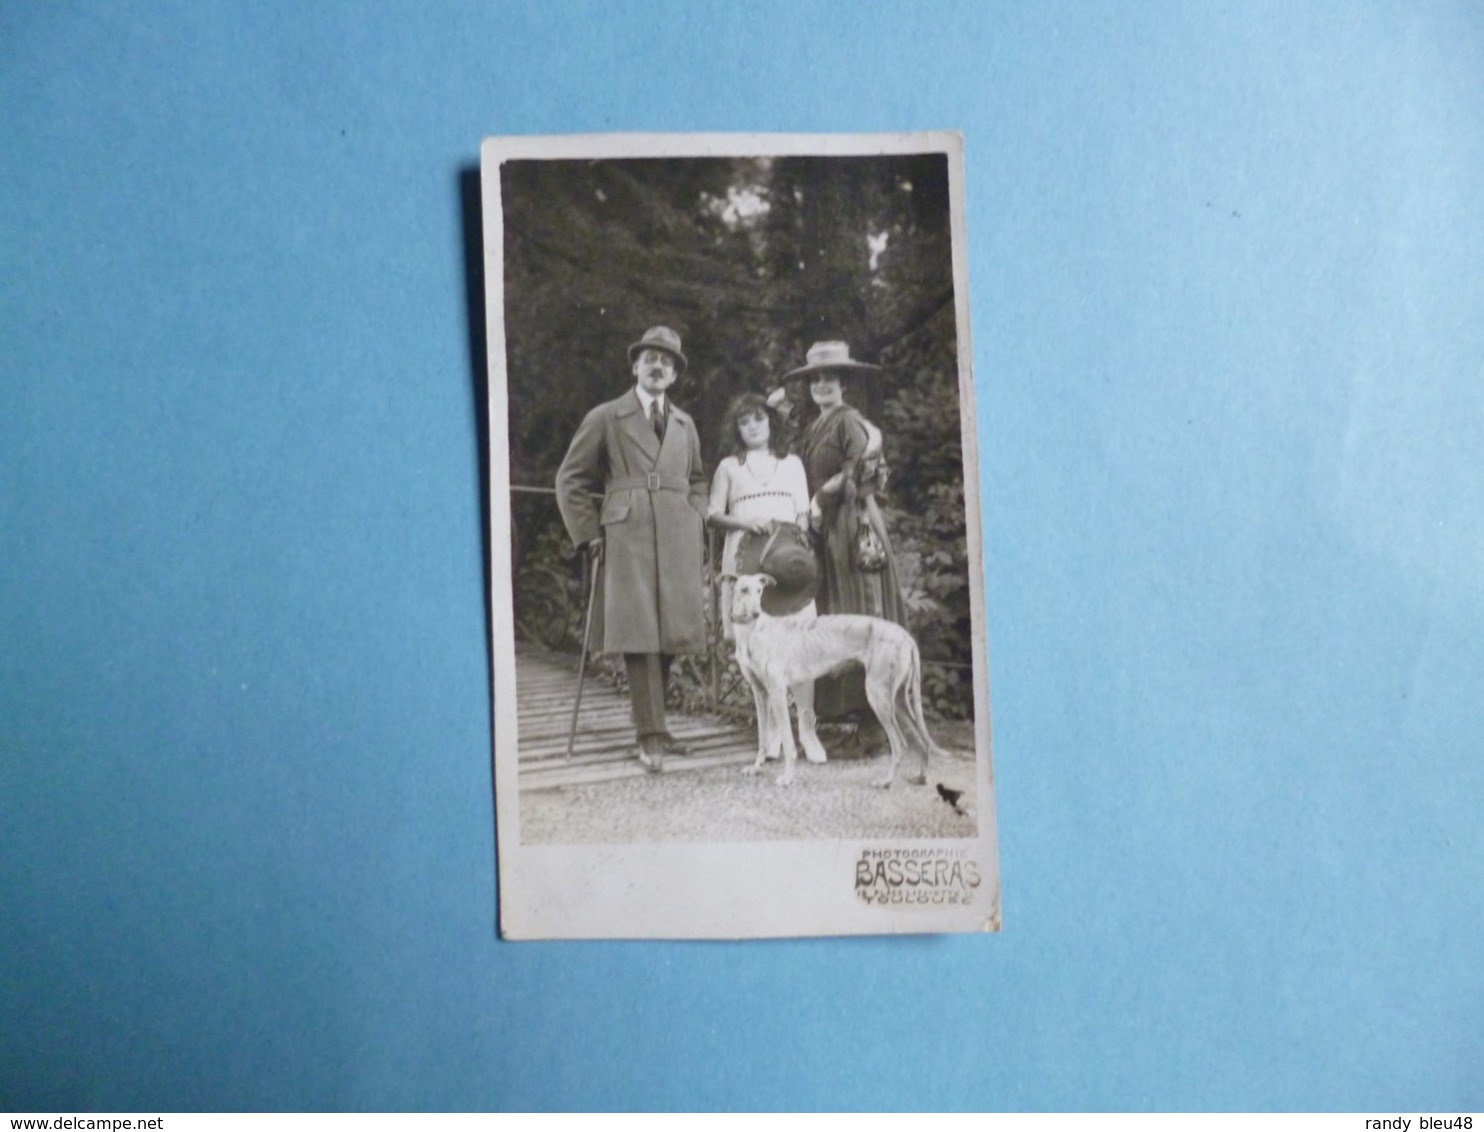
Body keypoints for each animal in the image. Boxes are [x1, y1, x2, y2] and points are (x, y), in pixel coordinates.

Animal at [721, 575, 949, 789]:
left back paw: (885, 781)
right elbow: (762, 737)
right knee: (921, 740)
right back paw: (921, 777)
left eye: (759, 591)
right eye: (744, 590)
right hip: (898, 699)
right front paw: (756, 768)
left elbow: (787, 742)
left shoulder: (777, 691)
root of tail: (906, 636)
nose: (756, 613)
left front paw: (787, 777)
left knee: (900, 744)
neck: (752, 631)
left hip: (878, 696)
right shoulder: (760, 692)